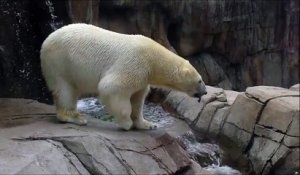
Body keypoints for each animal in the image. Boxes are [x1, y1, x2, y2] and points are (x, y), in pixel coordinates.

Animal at [41, 23, 207, 130]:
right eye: (200, 80)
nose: (205, 92)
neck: (154, 58)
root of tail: (46, 40)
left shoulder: (143, 77)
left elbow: (138, 98)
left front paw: (148, 124)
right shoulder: (135, 62)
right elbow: (111, 87)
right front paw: (126, 123)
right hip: (60, 62)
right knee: (65, 89)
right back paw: (76, 117)